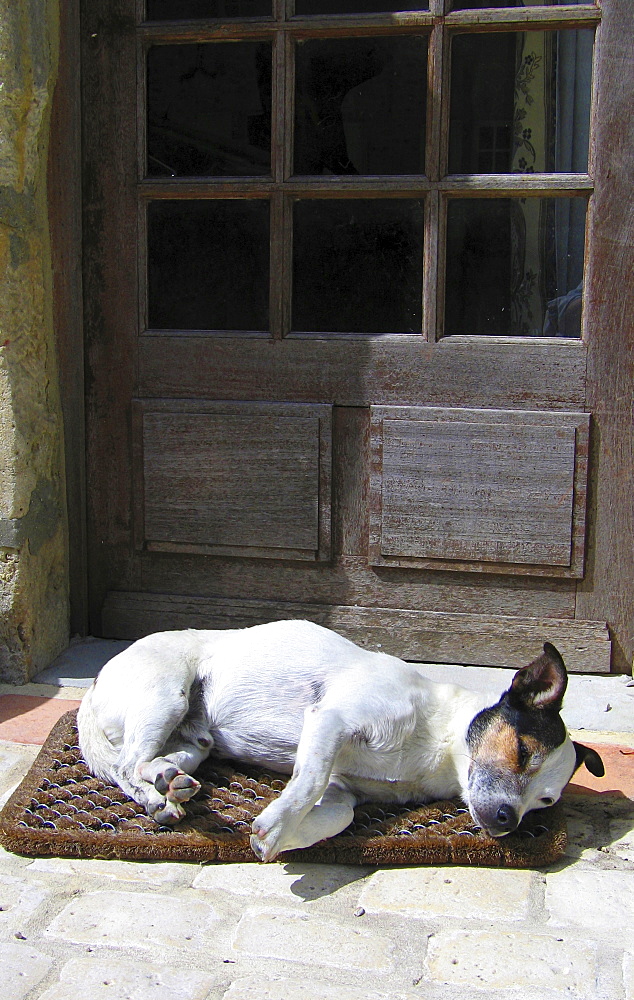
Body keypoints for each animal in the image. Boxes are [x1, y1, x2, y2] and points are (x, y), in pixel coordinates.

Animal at [76, 616, 600, 860]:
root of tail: (94, 687)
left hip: (194, 743)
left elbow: (337, 815)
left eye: (546, 802)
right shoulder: (330, 720)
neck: (436, 741)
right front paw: (274, 828)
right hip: (166, 695)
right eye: (522, 751)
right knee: (125, 764)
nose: (509, 821)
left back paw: (168, 784)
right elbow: (304, 786)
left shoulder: (341, 790)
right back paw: (157, 795)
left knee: (152, 762)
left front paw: (289, 836)